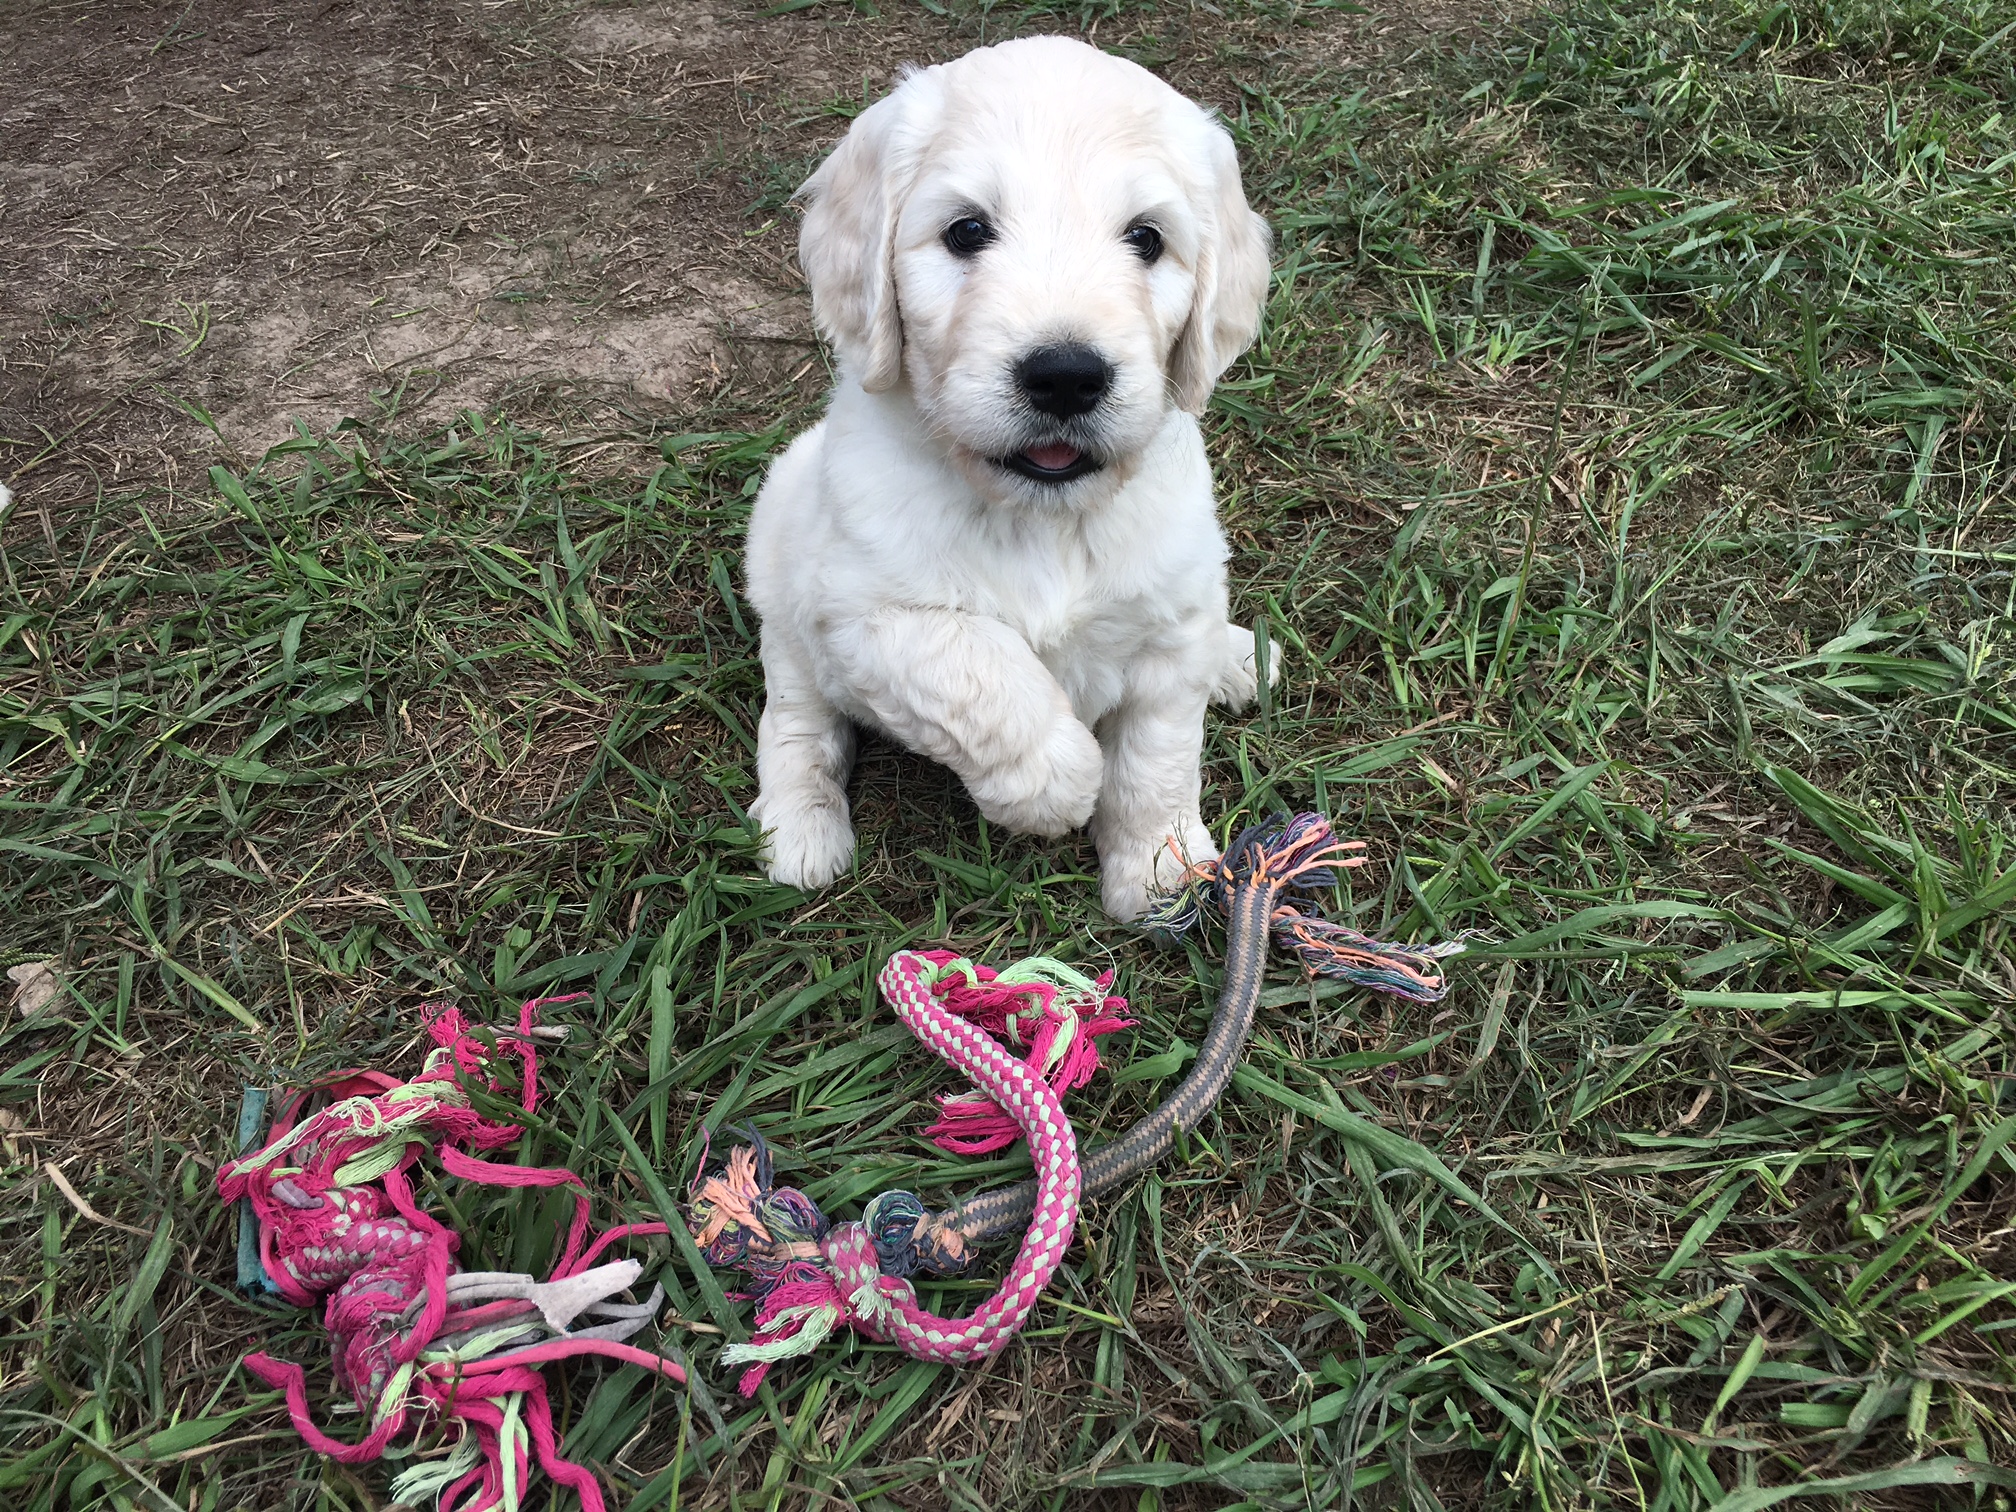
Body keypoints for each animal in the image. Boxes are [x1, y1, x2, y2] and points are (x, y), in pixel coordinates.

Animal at [741, 32, 1274, 923]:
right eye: (966, 231)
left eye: (1146, 239)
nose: (1065, 376)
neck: (1040, 516)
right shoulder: (863, 617)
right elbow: (979, 668)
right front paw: (1056, 789)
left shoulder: (1169, 622)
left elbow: (1158, 757)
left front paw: (1158, 870)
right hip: (783, 576)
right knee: (798, 721)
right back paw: (800, 830)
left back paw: (1238, 655)